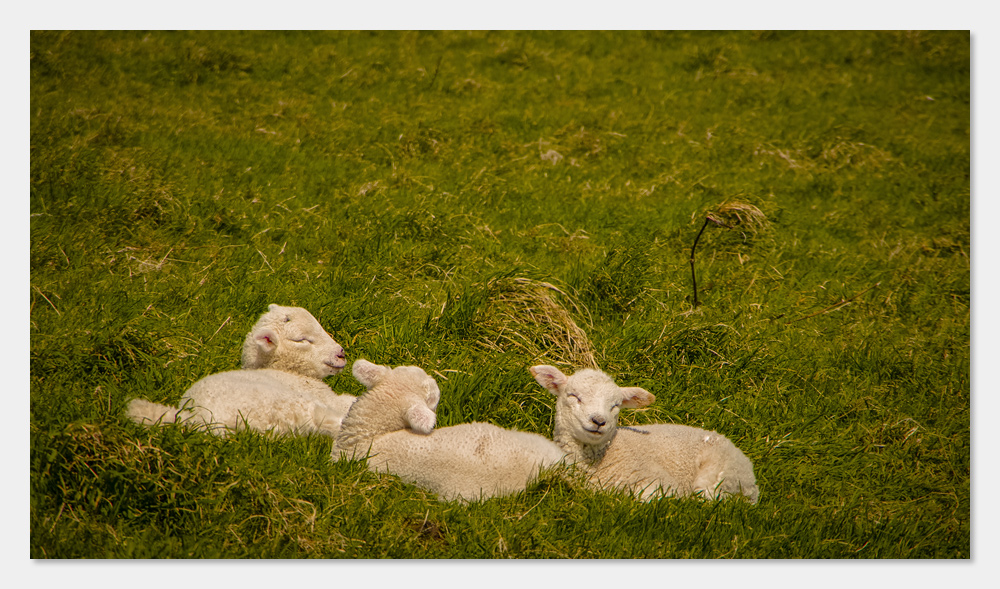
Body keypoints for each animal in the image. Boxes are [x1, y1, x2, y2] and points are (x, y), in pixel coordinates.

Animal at [127, 304, 356, 436]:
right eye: (302, 340)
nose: (341, 354)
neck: (289, 372)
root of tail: (196, 419)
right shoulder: (324, 396)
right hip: (291, 407)